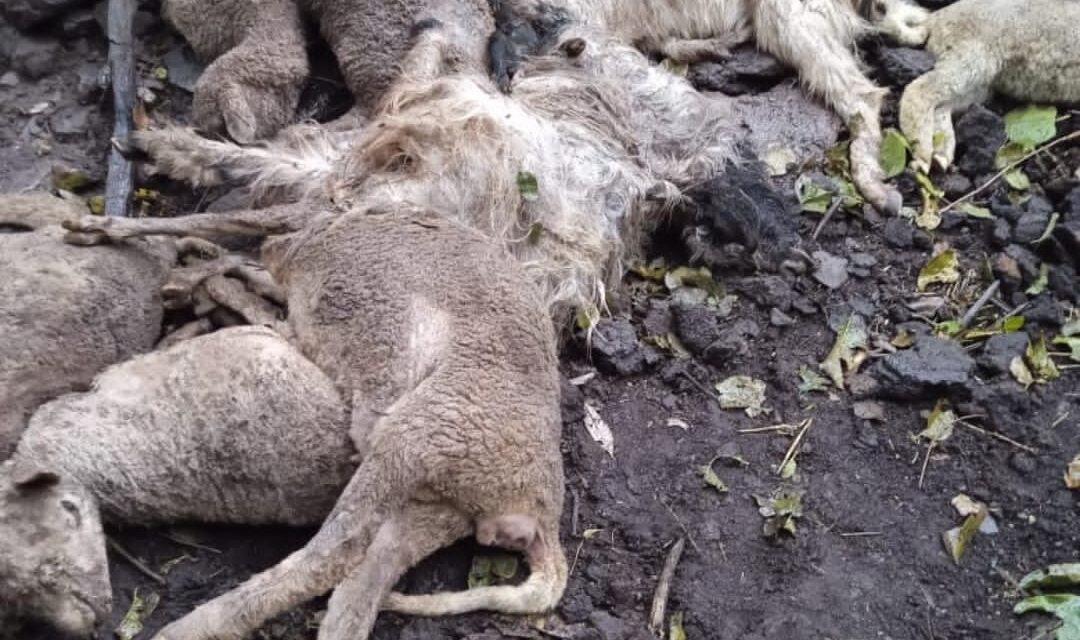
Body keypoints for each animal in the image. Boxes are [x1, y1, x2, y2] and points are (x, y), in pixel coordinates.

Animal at [61, 200, 567, 640]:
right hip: (435, 503)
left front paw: (99, 230)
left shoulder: (301, 227)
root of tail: (540, 507)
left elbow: (221, 221)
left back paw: (186, 629)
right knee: (357, 591)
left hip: (425, 433)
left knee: (333, 552)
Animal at [899, 0, 1080, 173]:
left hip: (978, 87)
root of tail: (935, 18)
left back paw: (940, 156)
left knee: (941, 107)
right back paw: (923, 156)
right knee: (919, 91)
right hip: (971, 60)